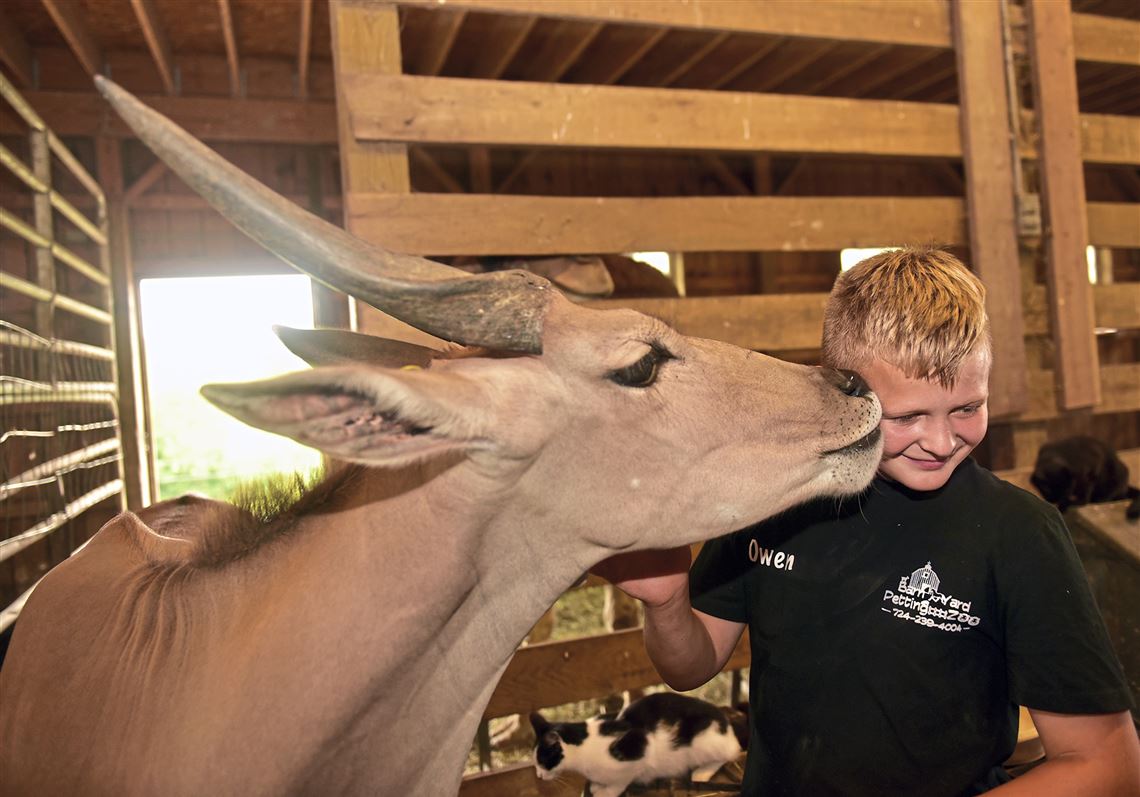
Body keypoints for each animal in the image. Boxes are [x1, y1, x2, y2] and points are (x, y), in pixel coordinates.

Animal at [526, 693, 747, 797]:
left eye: (542, 761)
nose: (538, 776)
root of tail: (725, 719)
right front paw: (598, 785)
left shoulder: (640, 749)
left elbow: (621, 781)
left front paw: (605, 791)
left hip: (706, 744)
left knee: (730, 753)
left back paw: (701, 773)